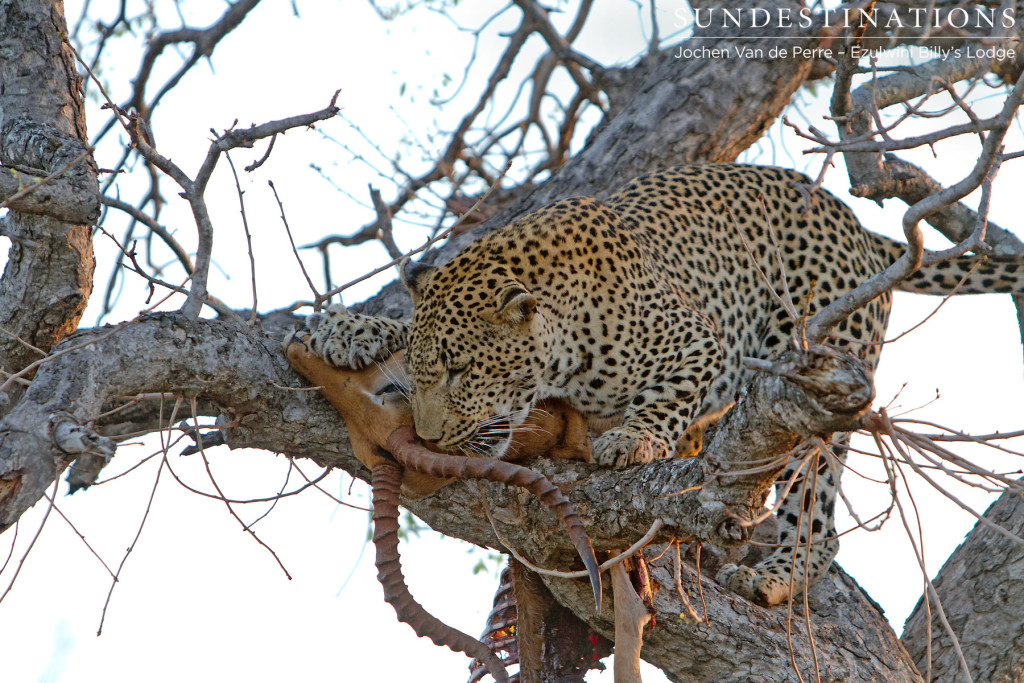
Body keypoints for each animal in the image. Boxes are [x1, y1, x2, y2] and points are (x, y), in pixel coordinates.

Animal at [305, 162, 1024, 606]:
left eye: (462, 370)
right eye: (431, 368)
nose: (426, 436)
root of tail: (856, 224)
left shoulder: (699, 341)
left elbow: (666, 398)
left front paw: (633, 441)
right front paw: (351, 327)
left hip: (821, 369)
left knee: (818, 508)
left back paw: (777, 576)